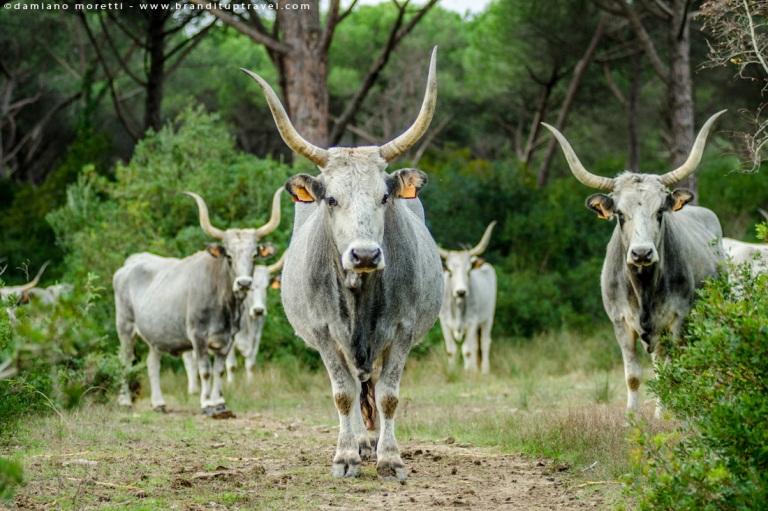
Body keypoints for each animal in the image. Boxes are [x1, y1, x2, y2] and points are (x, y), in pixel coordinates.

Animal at [114, 189, 282, 416]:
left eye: (254, 255)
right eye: (229, 256)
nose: (244, 283)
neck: (224, 305)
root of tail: (128, 267)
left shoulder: (227, 340)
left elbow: (219, 371)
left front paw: (220, 402)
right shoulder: (198, 337)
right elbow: (205, 371)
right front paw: (206, 403)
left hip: (155, 336)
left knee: (152, 364)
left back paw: (158, 403)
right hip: (125, 327)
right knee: (125, 361)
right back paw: (125, 401)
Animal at [243, 48, 440, 480]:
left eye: (384, 196)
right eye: (331, 199)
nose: (365, 255)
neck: (360, 292)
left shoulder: (402, 330)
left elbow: (387, 396)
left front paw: (390, 458)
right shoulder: (323, 333)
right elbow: (344, 393)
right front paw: (346, 456)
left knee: (373, 385)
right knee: (356, 385)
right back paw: (360, 444)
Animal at [438, 222, 498, 374]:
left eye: (469, 270)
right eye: (450, 271)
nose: (461, 292)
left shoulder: (472, 322)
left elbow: (467, 350)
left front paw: (468, 372)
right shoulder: (444, 323)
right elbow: (451, 350)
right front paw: (452, 371)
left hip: (488, 318)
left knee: (484, 343)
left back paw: (484, 370)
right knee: (476, 345)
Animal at [540, 111, 728, 416]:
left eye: (660, 211)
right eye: (619, 213)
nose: (641, 253)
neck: (643, 286)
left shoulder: (678, 320)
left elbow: (673, 372)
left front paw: (668, 415)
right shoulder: (620, 322)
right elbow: (633, 376)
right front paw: (632, 416)